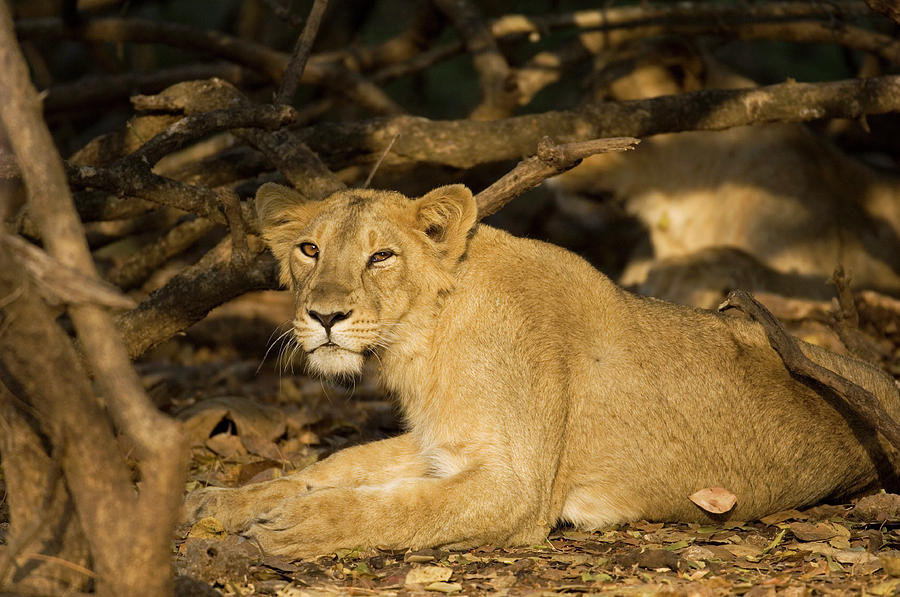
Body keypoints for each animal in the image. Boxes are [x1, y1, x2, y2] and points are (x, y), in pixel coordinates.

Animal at [186, 182, 900, 560]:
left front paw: (293, 527)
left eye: (381, 256)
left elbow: (395, 508)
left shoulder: (516, 489)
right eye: (309, 249)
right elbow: (339, 468)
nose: (325, 314)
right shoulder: (442, 445)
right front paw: (225, 502)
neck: (424, 340)